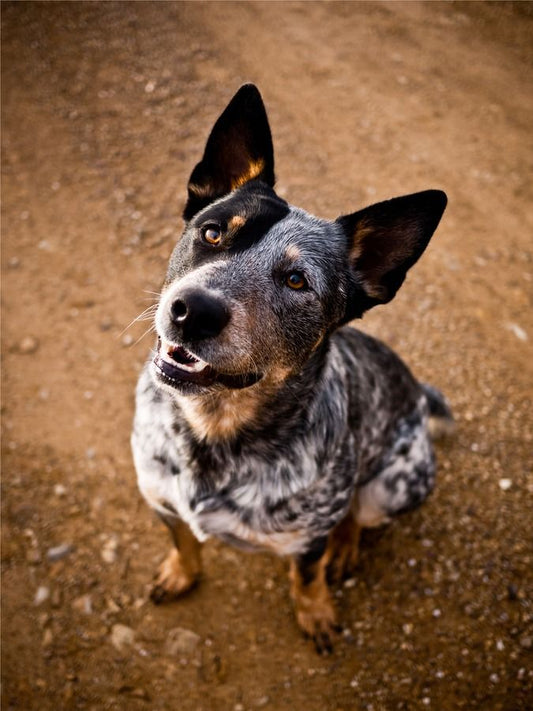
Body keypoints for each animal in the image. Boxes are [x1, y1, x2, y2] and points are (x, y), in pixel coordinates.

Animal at [131, 83, 450, 652]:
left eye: (297, 280)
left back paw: (345, 547)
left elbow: (307, 574)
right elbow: (185, 542)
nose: (192, 310)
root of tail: (417, 394)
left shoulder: (307, 539)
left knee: (355, 516)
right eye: (211, 233)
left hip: (390, 489)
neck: (214, 433)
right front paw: (180, 572)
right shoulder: (161, 500)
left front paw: (316, 610)